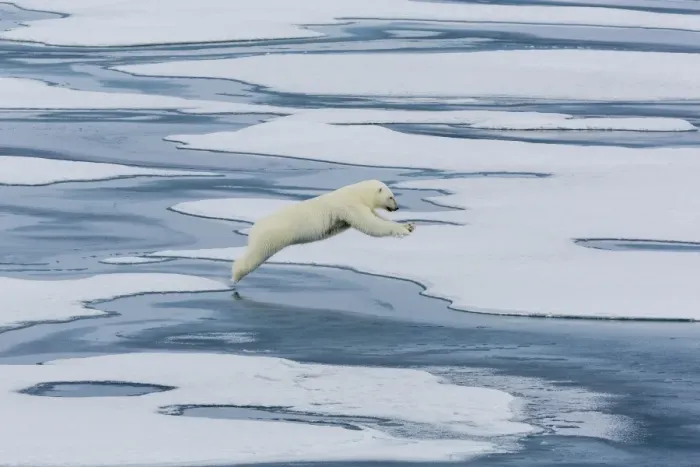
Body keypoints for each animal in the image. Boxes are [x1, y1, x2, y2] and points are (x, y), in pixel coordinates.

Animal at [231, 179, 415, 283]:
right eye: (391, 197)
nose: (397, 208)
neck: (357, 193)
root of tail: (255, 227)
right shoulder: (350, 206)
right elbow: (371, 225)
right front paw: (402, 229)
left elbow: (376, 217)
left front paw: (409, 225)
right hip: (271, 236)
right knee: (255, 255)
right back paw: (235, 276)